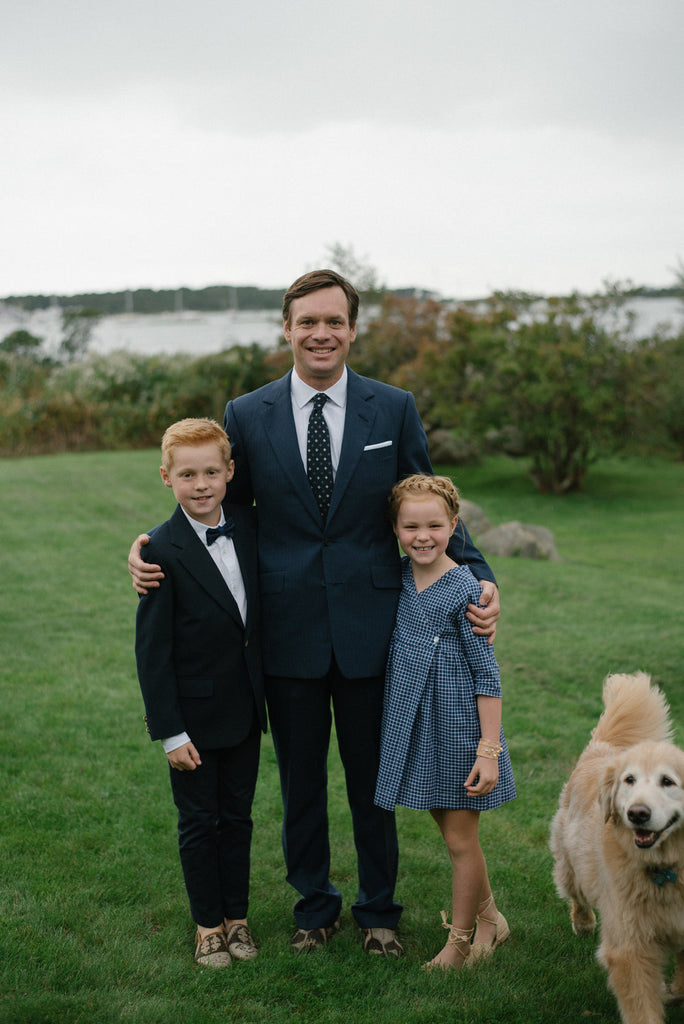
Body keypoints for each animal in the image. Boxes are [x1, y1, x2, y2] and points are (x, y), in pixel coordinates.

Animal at [548, 671, 684, 1024]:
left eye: (667, 781)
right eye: (630, 780)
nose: (637, 813)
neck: (666, 869)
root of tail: (604, 749)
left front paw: (673, 992)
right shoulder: (629, 942)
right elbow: (641, 1004)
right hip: (573, 863)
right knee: (576, 895)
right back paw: (583, 924)